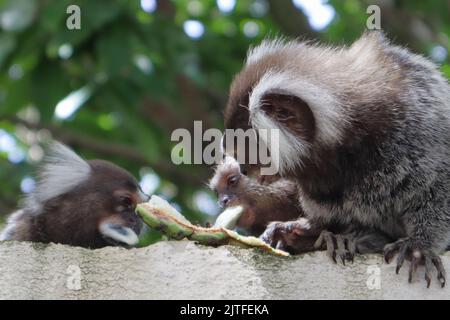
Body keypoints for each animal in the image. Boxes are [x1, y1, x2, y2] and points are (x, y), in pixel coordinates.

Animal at [224, 31, 450, 288]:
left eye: (248, 147)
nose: (242, 168)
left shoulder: (420, 129)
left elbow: (439, 188)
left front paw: (419, 246)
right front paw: (304, 231)